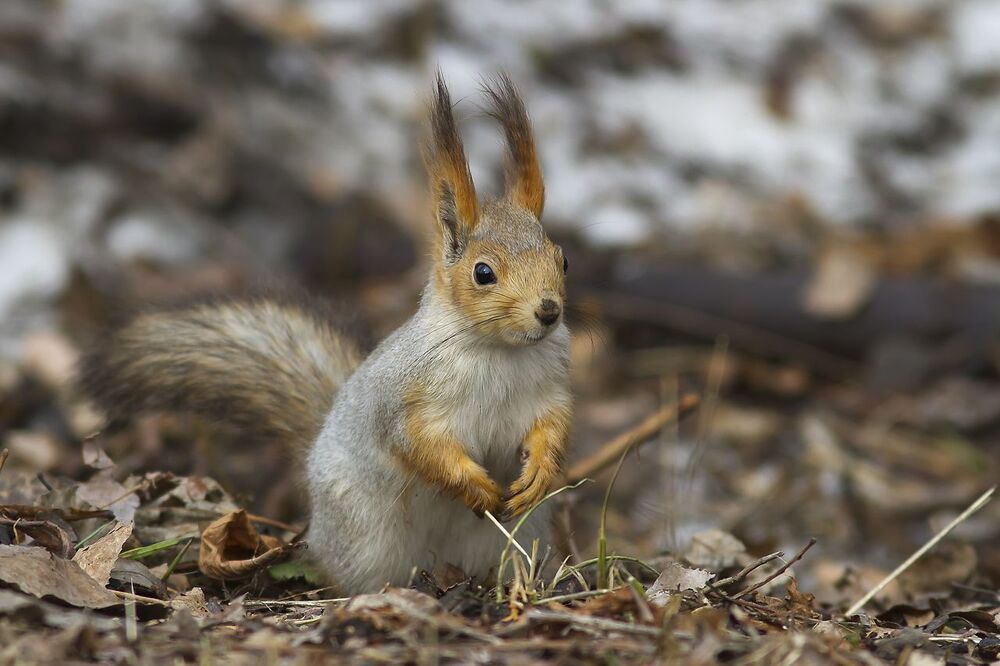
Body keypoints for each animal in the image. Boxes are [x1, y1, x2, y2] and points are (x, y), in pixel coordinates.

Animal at [82, 73, 572, 595]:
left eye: (562, 260)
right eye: (483, 273)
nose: (548, 311)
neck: (500, 351)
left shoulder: (552, 385)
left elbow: (553, 425)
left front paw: (540, 472)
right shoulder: (405, 398)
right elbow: (420, 445)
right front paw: (474, 486)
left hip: (513, 540)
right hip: (366, 537)